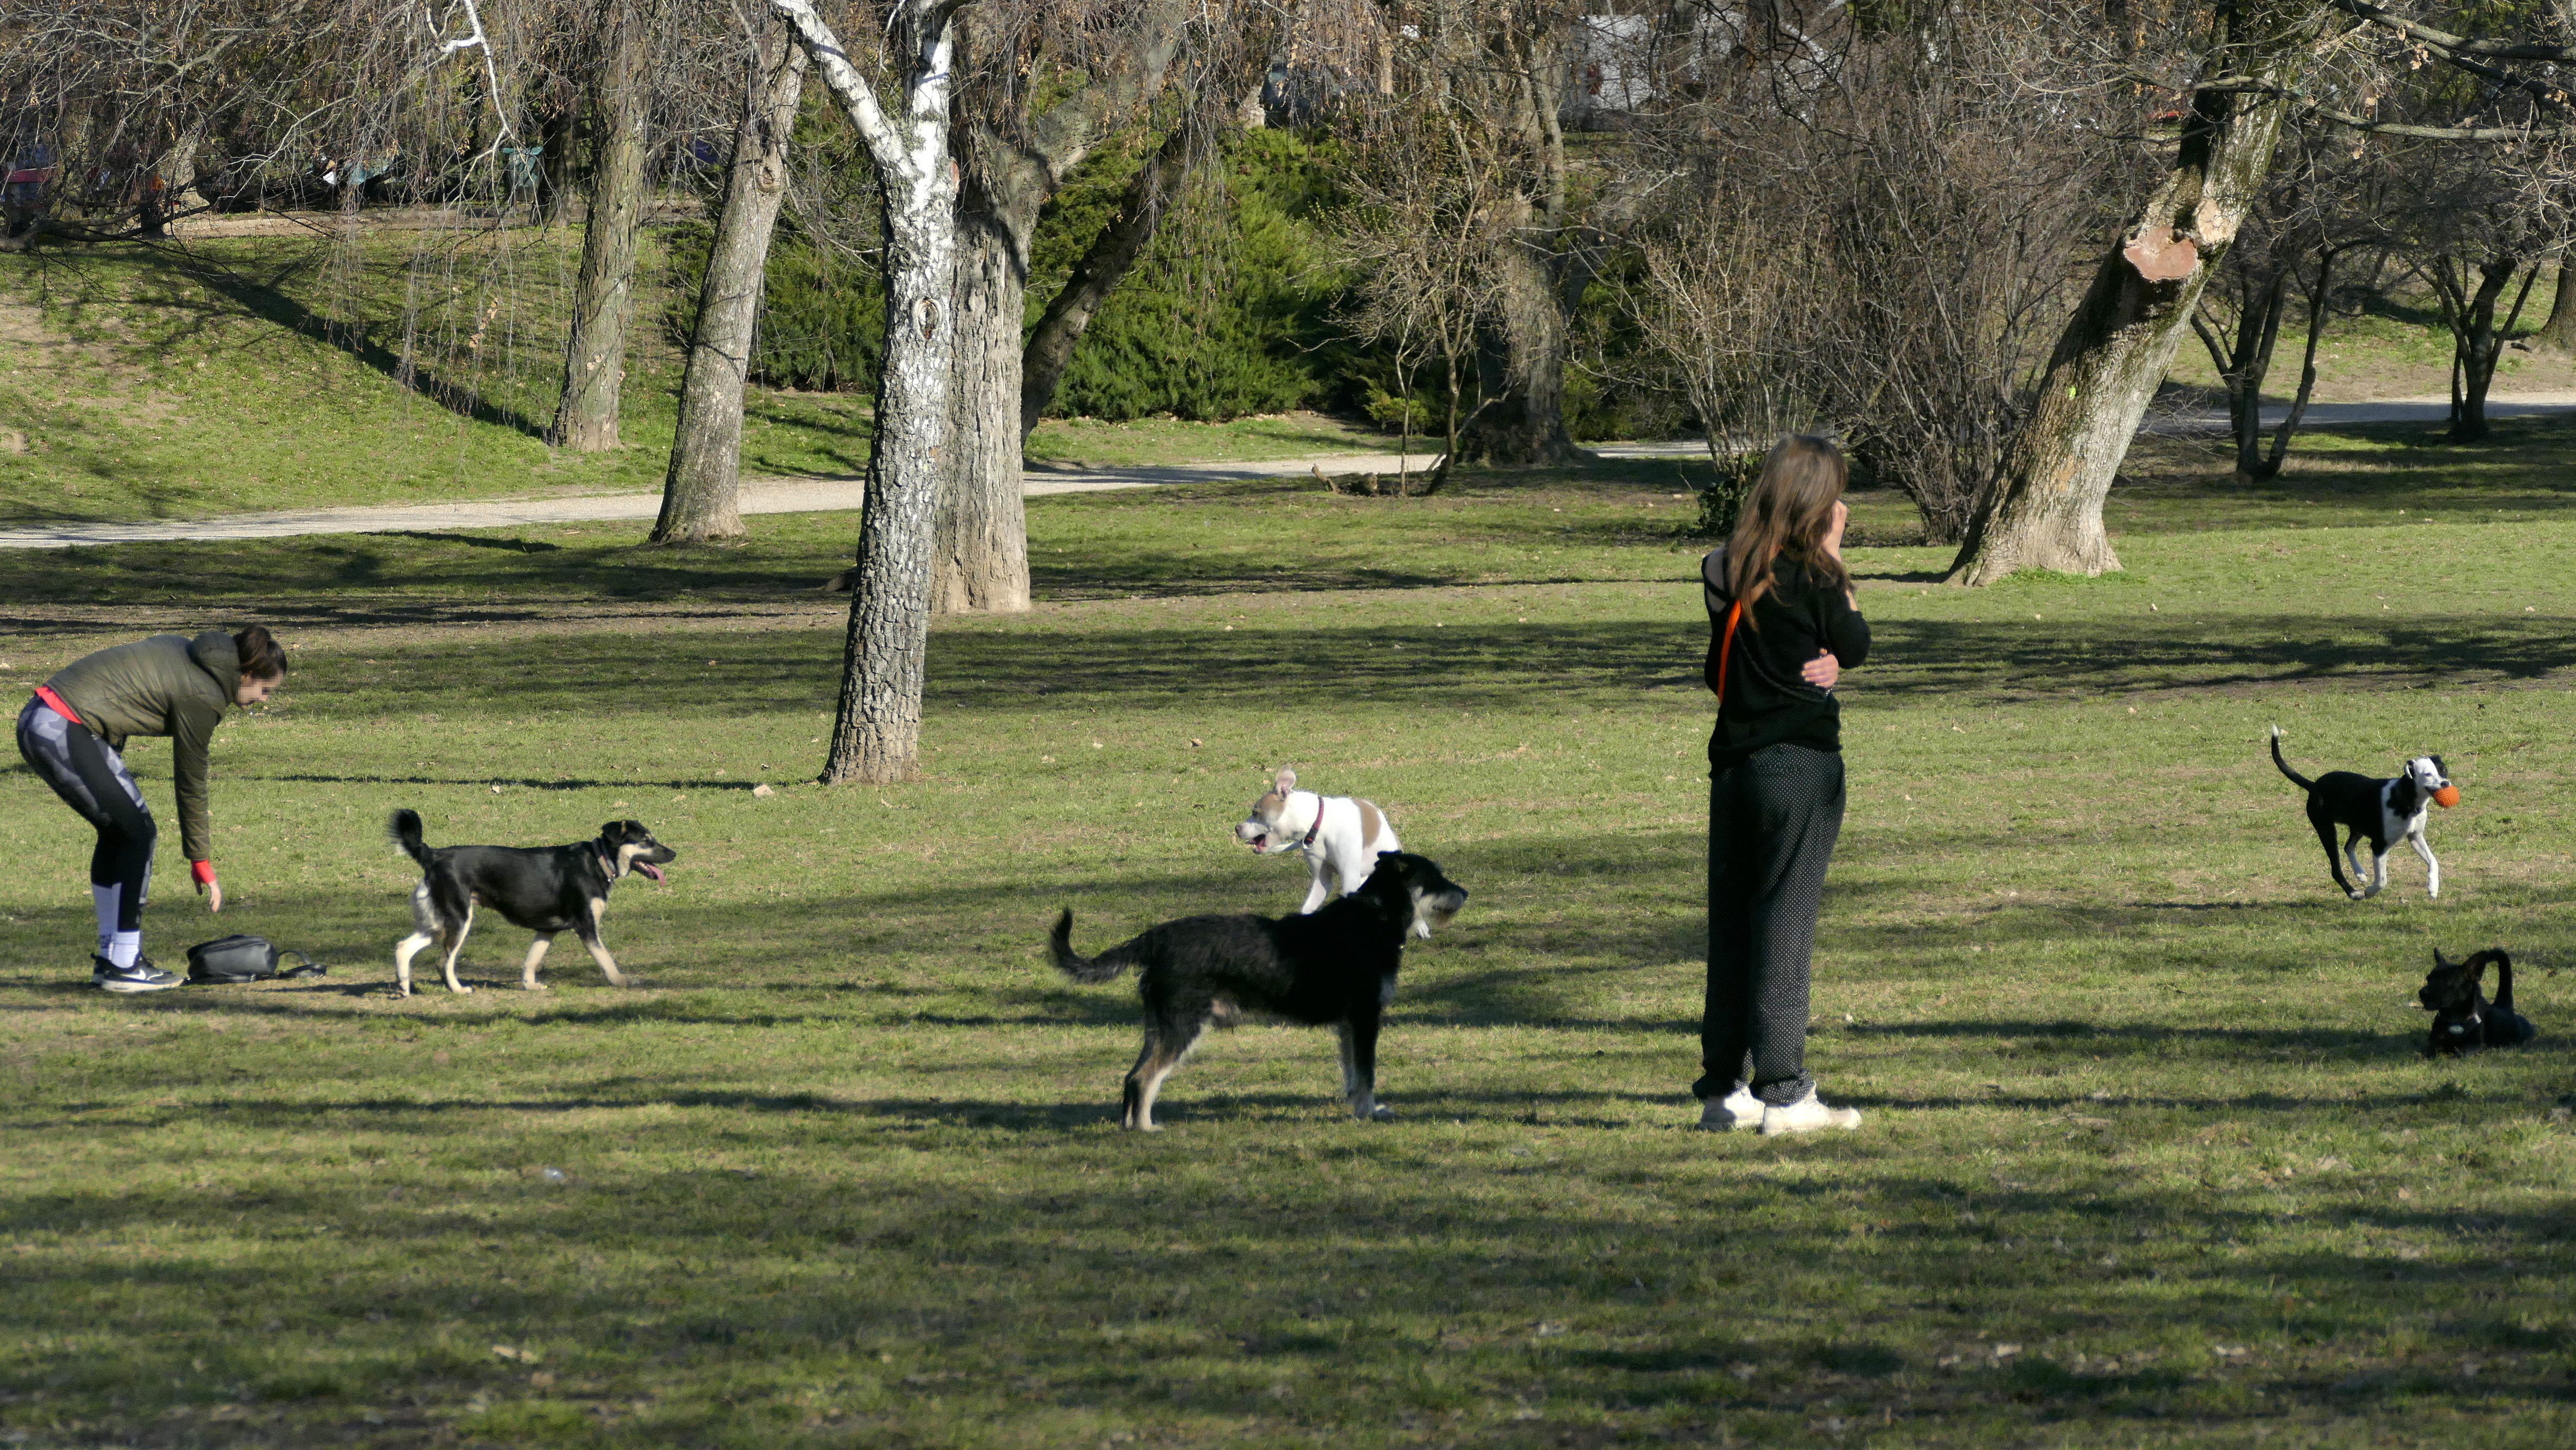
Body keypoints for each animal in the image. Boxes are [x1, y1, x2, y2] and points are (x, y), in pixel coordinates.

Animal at [386, 804, 675, 999]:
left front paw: (530, 985)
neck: (598, 860)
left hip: (437, 923)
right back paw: (458, 990)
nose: (674, 853)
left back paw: (404, 988)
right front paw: (621, 981)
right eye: (646, 841)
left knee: (403, 947)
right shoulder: (586, 927)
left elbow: (532, 960)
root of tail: (433, 855)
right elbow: (606, 959)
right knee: (443, 962)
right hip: (459, 919)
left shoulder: (547, 929)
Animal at [1046, 850, 1473, 1133]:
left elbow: (1353, 1073)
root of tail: (1156, 938)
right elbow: (1367, 1074)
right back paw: (1147, 1129)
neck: (1375, 915)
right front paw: (1369, 1113)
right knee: (1144, 1079)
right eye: (1436, 877)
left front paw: (1357, 1109)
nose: (1465, 893)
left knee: (1131, 1076)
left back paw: (1129, 1127)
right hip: (1183, 1028)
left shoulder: (1349, 1025)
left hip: (1160, 1027)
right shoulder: (1366, 1017)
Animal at [2277, 721, 2452, 896]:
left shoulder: (2415, 837)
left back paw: (2360, 873)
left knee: (2348, 847)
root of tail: (2314, 786)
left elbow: (2433, 861)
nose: (2446, 784)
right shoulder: (2379, 847)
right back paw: (2354, 893)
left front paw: (2433, 888)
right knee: (2336, 868)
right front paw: (2370, 892)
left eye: (2444, 770)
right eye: (2427, 774)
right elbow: (2382, 881)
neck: (2402, 799)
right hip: (2327, 830)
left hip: (2357, 827)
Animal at [2411, 947, 2534, 1061]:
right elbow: (2429, 1050)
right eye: (2429, 979)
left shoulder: (2475, 1045)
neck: (2455, 1018)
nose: (2422, 992)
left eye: (2446, 983)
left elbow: (2462, 1053)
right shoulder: (2435, 1041)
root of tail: (2503, 1006)